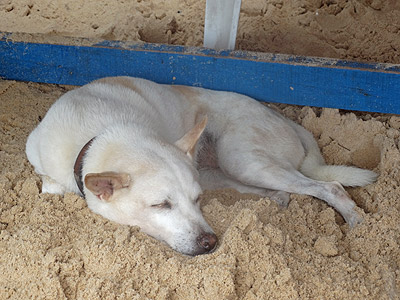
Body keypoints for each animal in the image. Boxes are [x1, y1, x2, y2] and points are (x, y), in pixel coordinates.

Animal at [25, 76, 378, 254]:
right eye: (160, 205)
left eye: (196, 200)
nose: (211, 243)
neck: (103, 134)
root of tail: (287, 121)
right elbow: (48, 187)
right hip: (225, 170)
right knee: (279, 192)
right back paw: (275, 200)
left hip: (242, 159)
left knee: (329, 186)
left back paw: (358, 223)